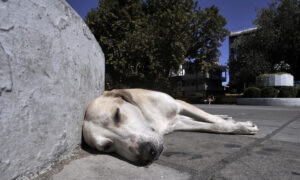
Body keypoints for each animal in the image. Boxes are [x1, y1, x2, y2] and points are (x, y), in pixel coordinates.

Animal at [82, 88, 258, 166]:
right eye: (106, 147)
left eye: (117, 114)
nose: (148, 153)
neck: (151, 119)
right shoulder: (179, 123)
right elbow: (214, 126)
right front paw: (236, 126)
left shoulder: (179, 103)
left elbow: (213, 120)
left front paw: (242, 126)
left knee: (209, 115)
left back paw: (226, 117)